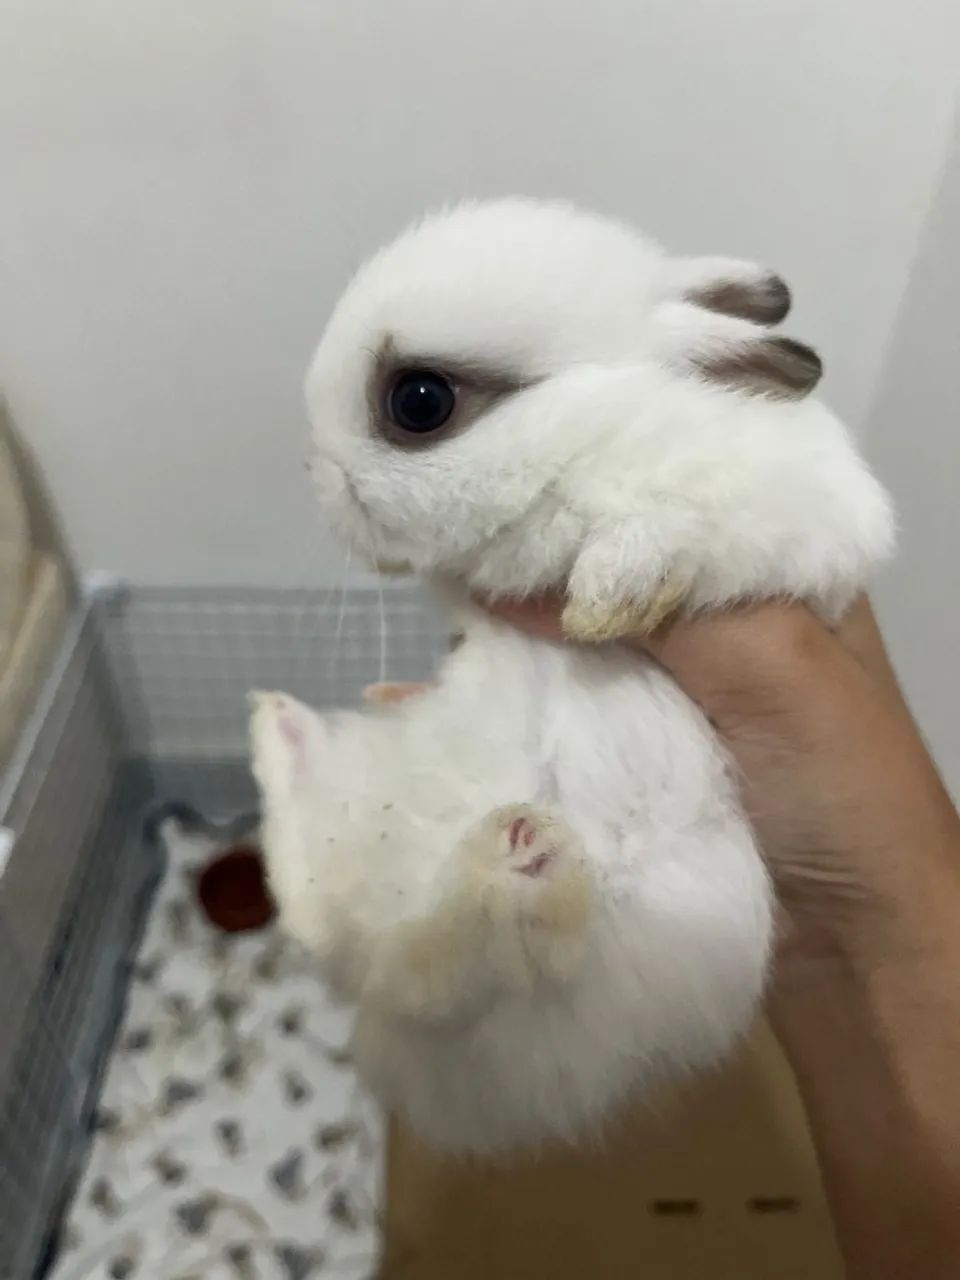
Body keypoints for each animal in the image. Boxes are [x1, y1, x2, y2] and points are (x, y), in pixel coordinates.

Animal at [250, 198, 893, 1153]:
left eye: (418, 401)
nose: (313, 473)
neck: (582, 436)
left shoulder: (789, 523)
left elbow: (673, 530)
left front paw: (608, 597)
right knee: (357, 927)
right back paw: (284, 728)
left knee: (460, 965)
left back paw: (520, 862)